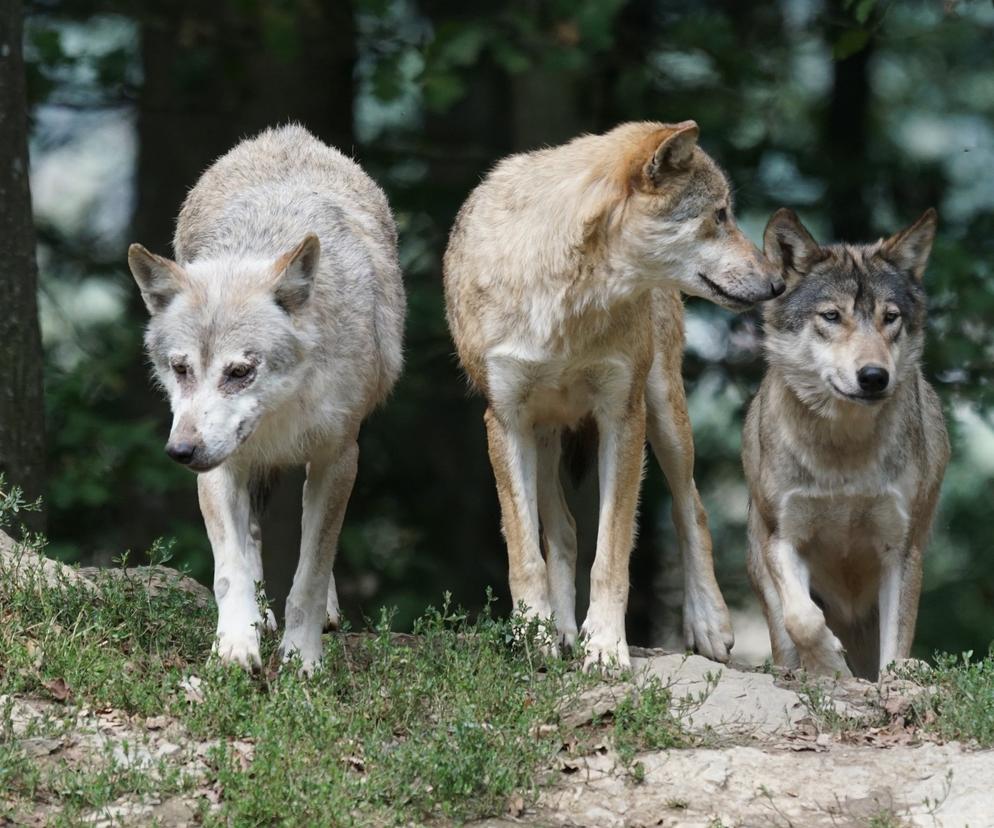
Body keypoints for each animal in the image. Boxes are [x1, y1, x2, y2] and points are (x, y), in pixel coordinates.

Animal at [128, 126, 404, 676]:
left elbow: (311, 573)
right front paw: (236, 645)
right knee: (252, 536)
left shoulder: (339, 459)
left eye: (240, 372)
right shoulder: (219, 466)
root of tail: (286, 133)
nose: (180, 452)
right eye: (181, 369)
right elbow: (229, 569)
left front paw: (302, 658)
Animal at [444, 119, 784, 668]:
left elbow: (612, 554)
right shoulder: (505, 421)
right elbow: (525, 553)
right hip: (544, 435)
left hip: (665, 414)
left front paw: (604, 647)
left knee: (691, 507)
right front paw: (535, 637)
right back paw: (560, 632)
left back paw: (708, 624)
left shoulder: (622, 417)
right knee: (562, 531)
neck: (568, 300)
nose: (777, 283)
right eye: (719, 215)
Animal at [744, 207, 944, 680]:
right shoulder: (783, 536)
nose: (873, 377)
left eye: (890, 317)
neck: (843, 454)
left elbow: (896, 647)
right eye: (832, 316)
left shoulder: (900, 550)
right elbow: (802, 618)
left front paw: (891, 677)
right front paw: (829, 665)